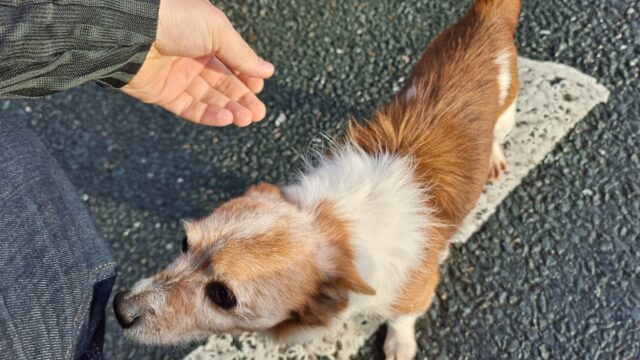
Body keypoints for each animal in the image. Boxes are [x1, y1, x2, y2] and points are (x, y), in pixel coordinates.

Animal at [115, 1, 520, 358]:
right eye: (184, 242)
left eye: (222, 295)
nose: (119, 309)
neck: (336, 224)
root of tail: (488, 16)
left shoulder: (415, 291)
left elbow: (401, 319)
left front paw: (399, 344)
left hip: (506, 111)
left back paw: (495, 158)